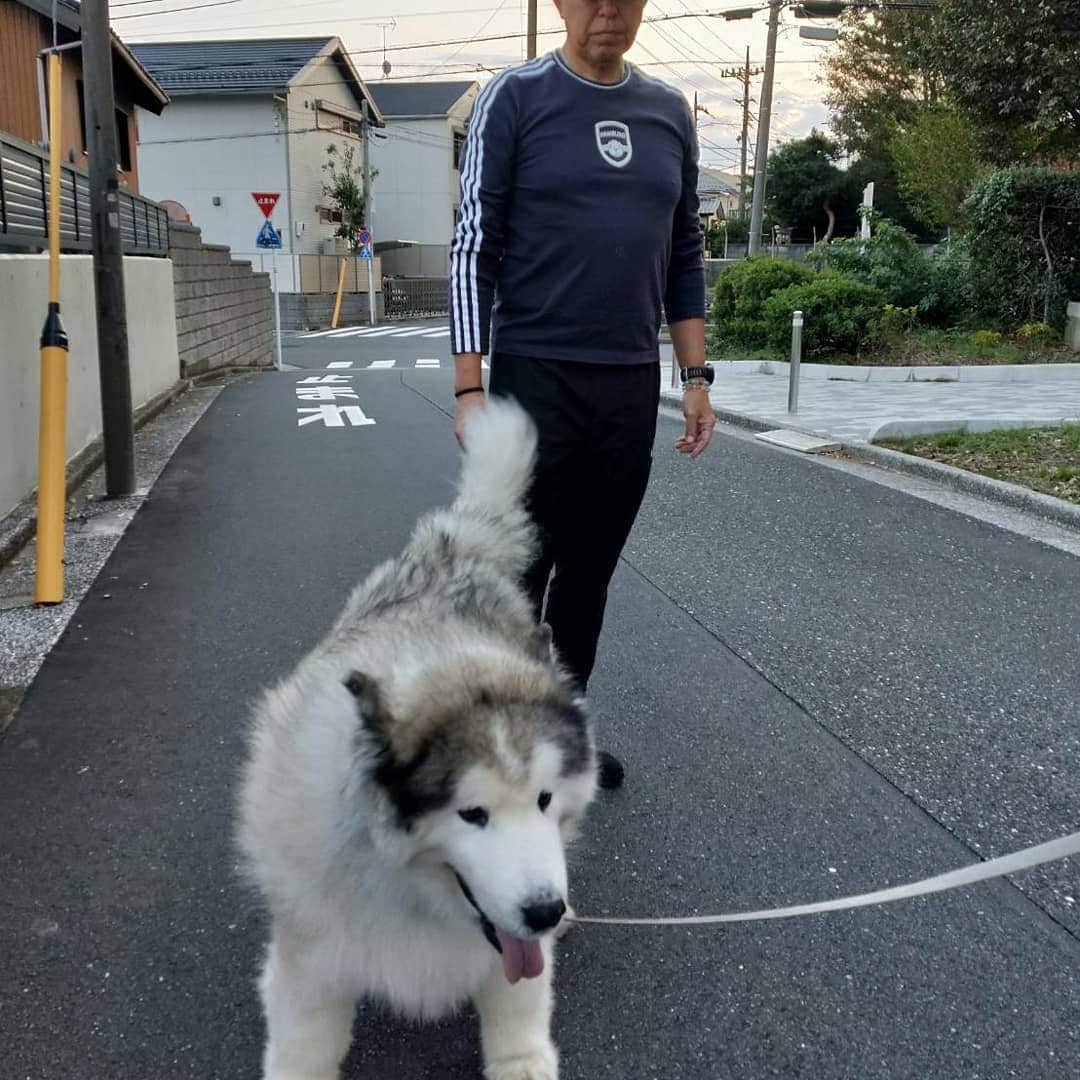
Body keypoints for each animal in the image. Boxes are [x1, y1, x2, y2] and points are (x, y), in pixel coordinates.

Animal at [235, 401, 600, 1080]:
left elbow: (518, 1012)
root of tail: (453, 545)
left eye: (544, 799)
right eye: (472, 814)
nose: (544, 910)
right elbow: (303, 1044)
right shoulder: (311, 964)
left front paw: (521, 1056)